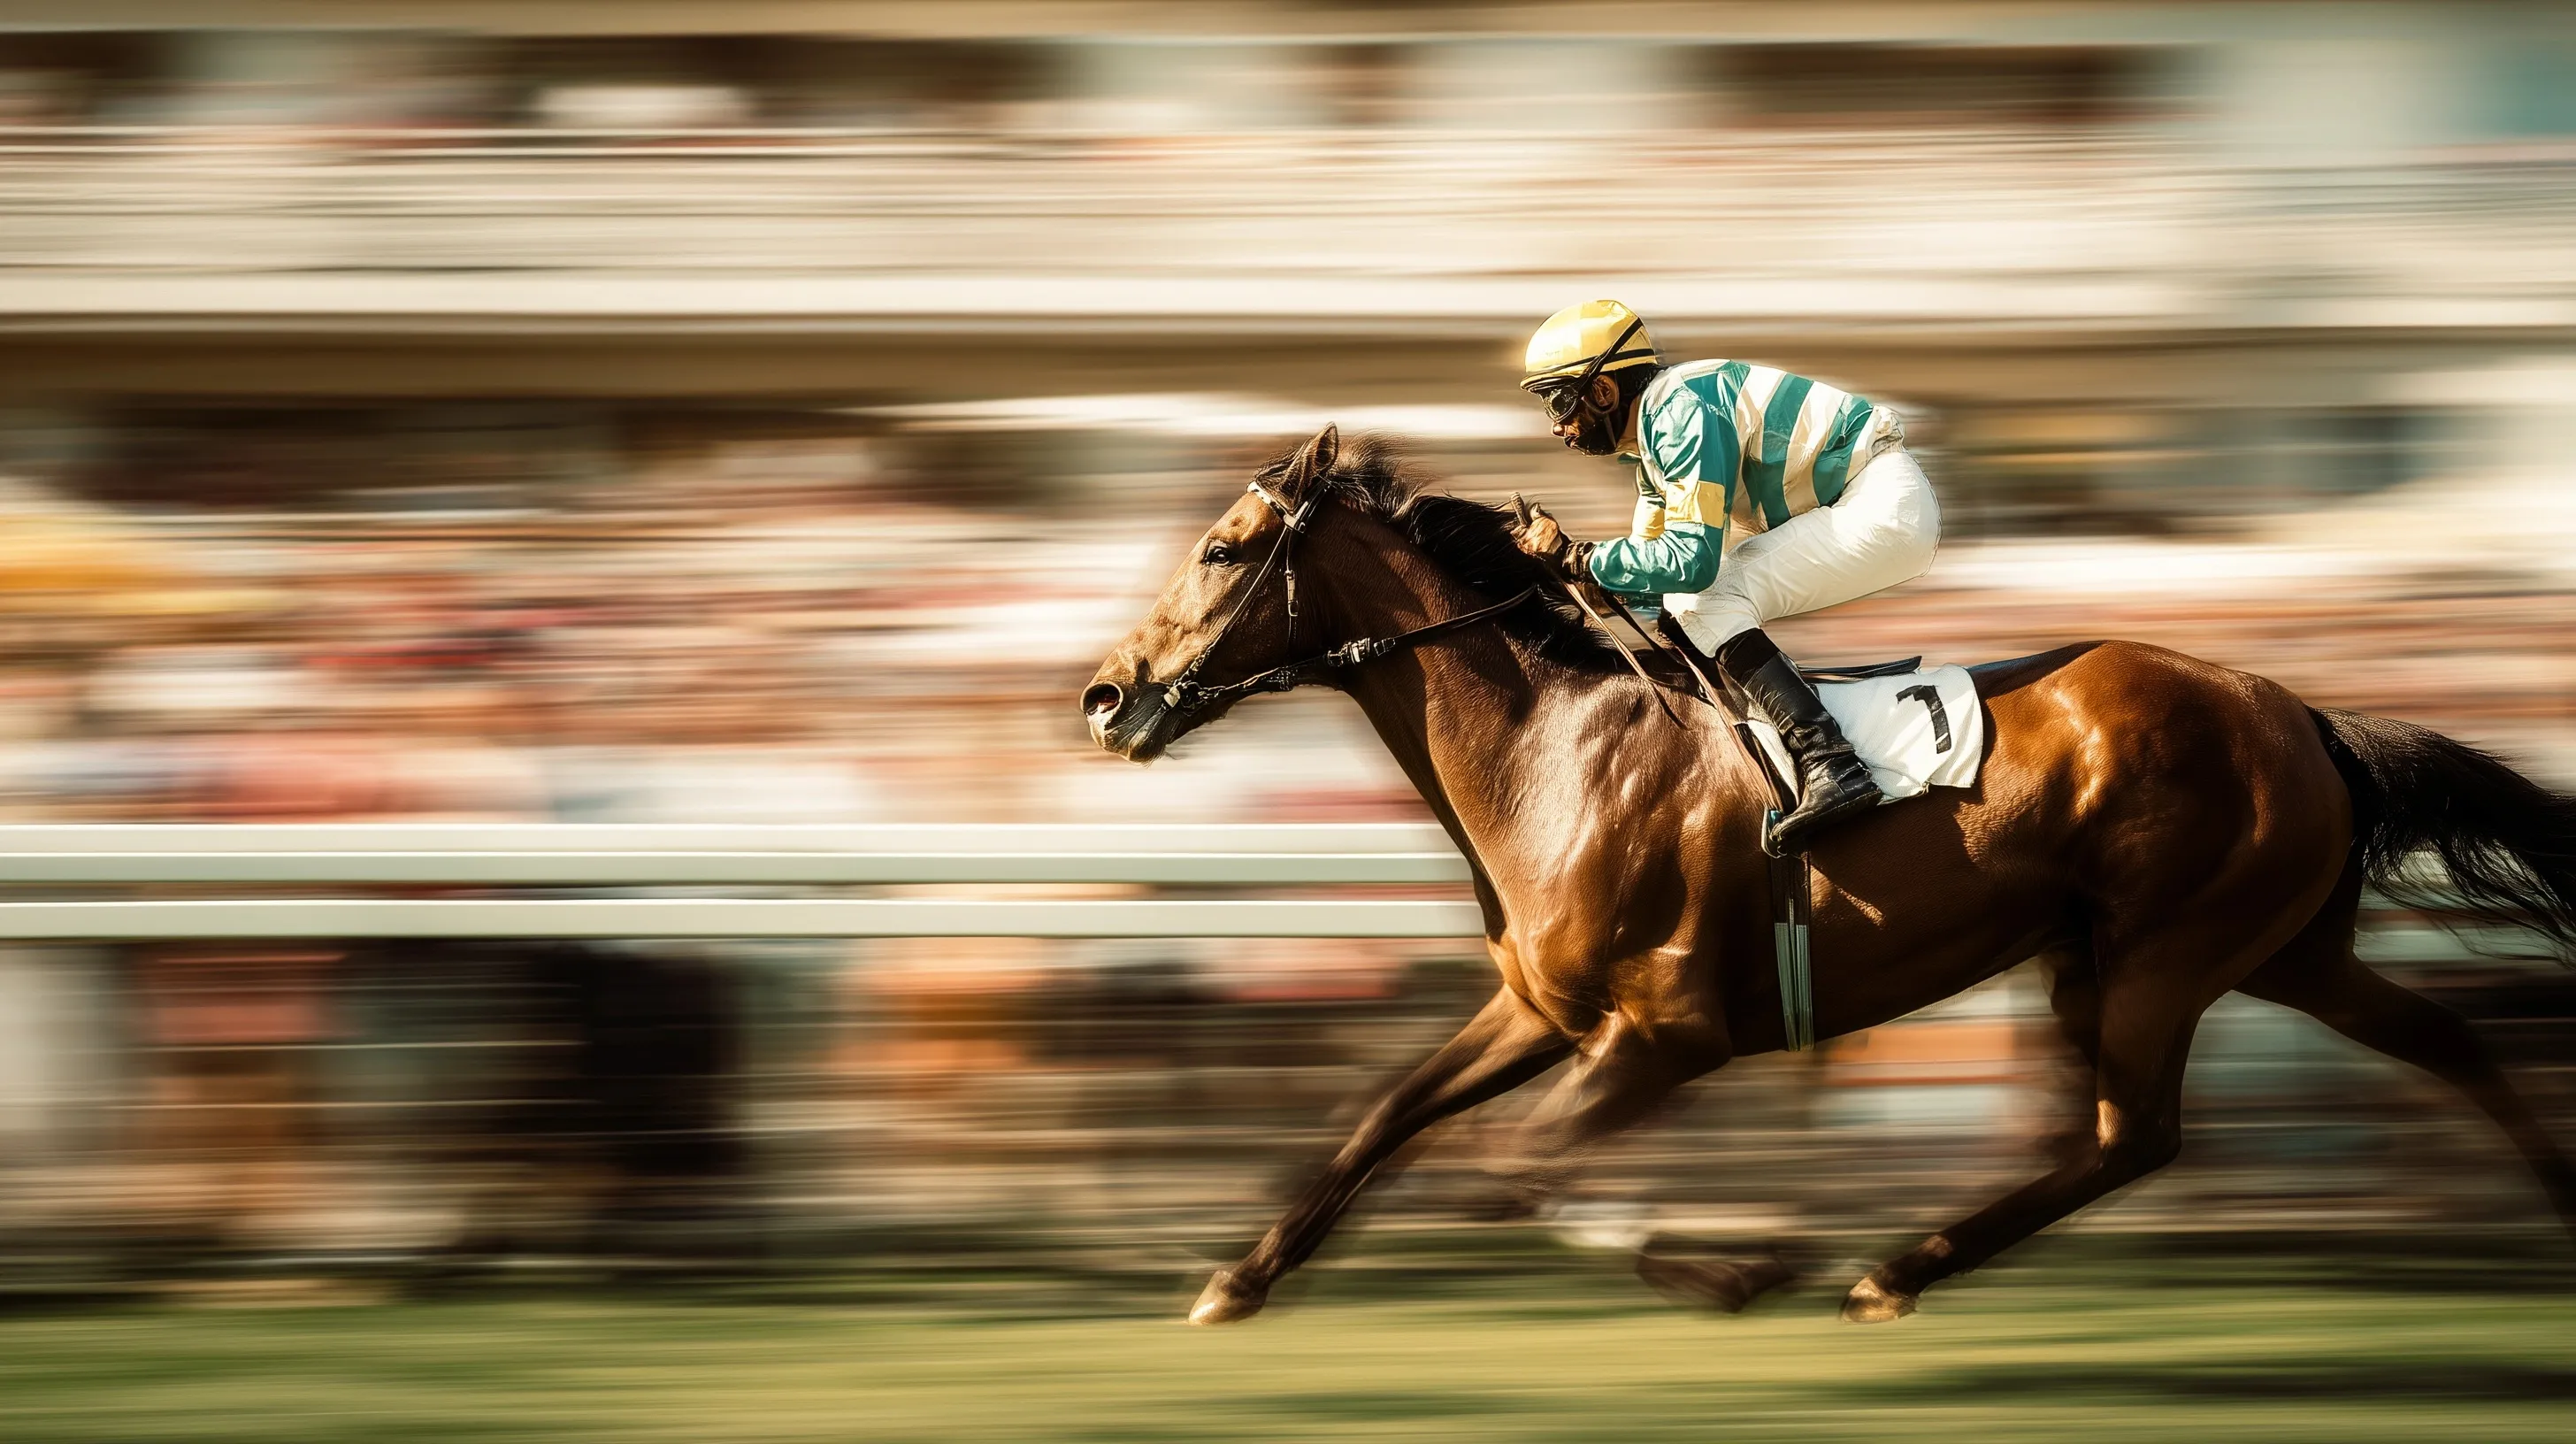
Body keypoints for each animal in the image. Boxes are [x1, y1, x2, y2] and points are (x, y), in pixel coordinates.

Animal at [1081, 425, 2576, 1324]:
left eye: (1220, 549)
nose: (1106, 697)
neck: (1553, 759)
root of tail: (2302, 713)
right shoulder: (1540, 1013)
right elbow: (1385, 1118)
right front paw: (1236, 1281)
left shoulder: (1666, 1035)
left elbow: (1511, 1168)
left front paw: (1742, 1263)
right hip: (2249, 947)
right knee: (2427, 1045)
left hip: (2171, 949)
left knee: (2135, 1132)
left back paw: (1888, 1271)